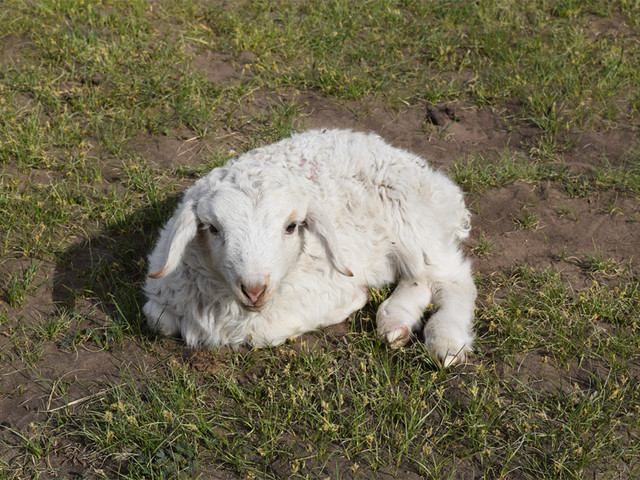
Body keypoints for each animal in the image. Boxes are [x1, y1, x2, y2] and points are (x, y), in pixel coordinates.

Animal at [145, 129, 476, 366]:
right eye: (213, 228)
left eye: (291, 226)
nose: (254, 289)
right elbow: (160, 320)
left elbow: (265, 331)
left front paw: (355, 299)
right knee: (419, 278)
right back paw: (397, 322)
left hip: (410, 218)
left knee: (453, 278)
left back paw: (446, 341)